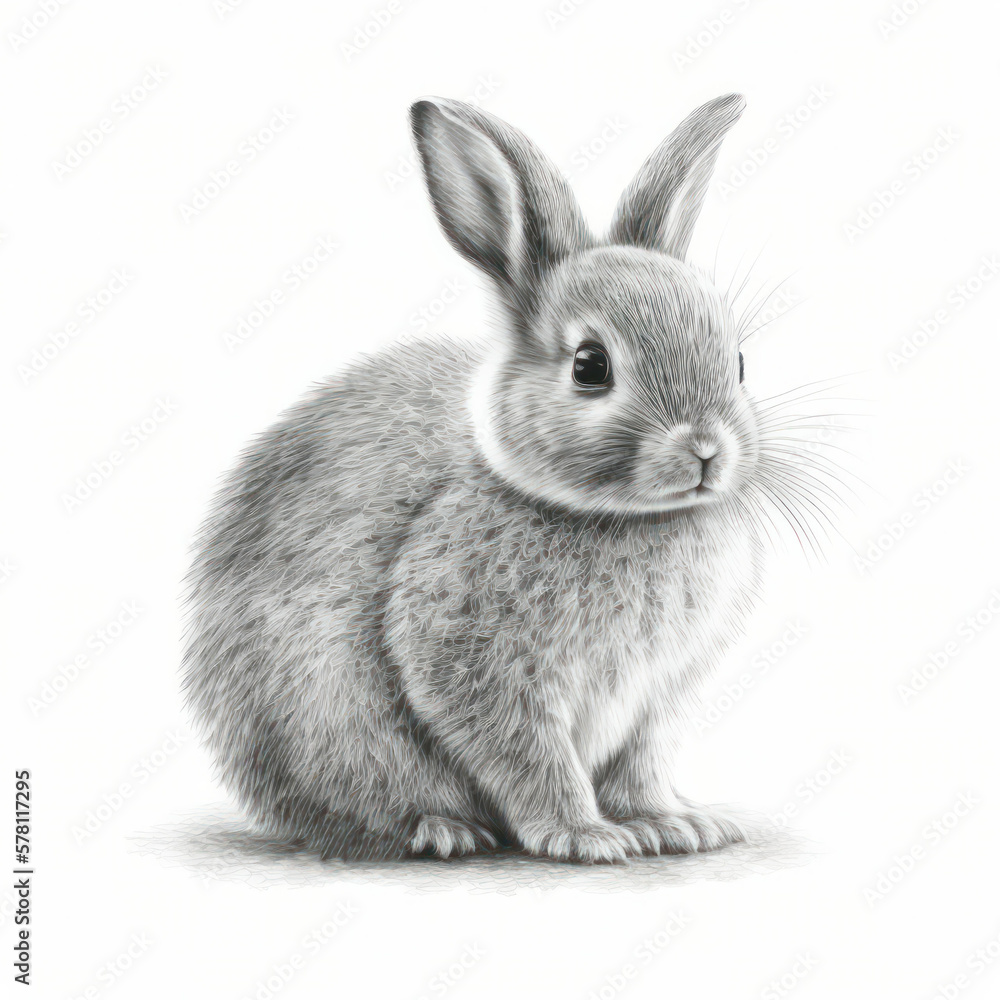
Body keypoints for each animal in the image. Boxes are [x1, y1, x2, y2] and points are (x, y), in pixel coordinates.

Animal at [183, 92, 783, 863]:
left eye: (737, 362)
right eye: (591, 366)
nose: (708, 449)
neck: (625, 517)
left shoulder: (657, 698)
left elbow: (640, 767)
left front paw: (675, 825)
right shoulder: (479, 664)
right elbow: (529, 756)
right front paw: (585, 836)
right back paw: (440, 829)